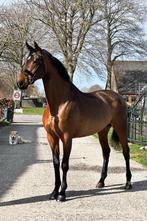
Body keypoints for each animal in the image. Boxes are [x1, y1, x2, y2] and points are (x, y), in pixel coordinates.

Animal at [17, 41, 132, 202]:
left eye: (36, 60)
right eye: (25, 60)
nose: (20, 82)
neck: (59, 104)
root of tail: (118, 97)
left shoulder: (67, 137)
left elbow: (64, 164)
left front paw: (62, 193)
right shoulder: (52, 137)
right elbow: (55, 163)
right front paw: (54, 192)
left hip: (121, 128)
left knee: (126, 152)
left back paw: (128, 183)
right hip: (102, 131)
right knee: (106, 152)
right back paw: (101, 181)